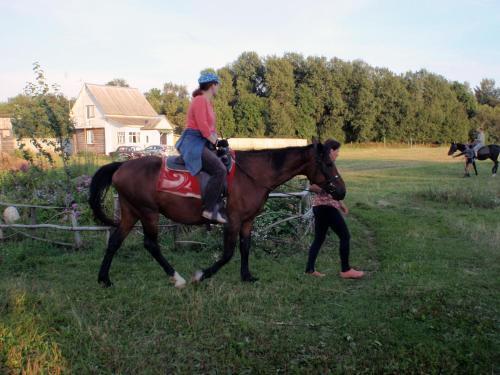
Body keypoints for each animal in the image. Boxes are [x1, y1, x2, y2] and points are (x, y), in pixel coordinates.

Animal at [90, 142, 346, 290]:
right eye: (327, 162)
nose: (341, 191)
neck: (251, 174)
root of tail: (122, 166)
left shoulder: (247, 221)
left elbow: (245, 247)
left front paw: (247, 276)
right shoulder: (232, 221)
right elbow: (227, 254)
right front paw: (201, 275)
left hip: (131, 212)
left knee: (114, 241)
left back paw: (104, 279)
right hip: (148, 213)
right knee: (151, 244)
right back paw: (178, 278)